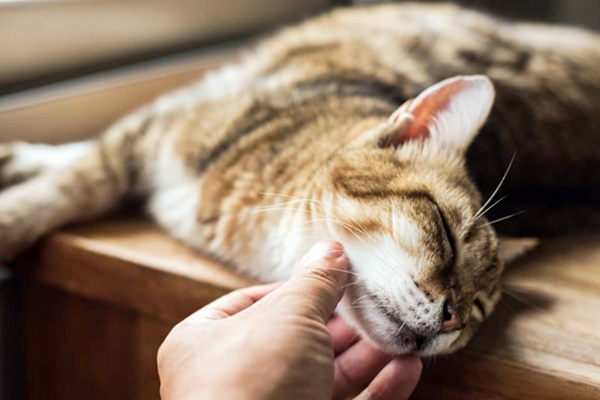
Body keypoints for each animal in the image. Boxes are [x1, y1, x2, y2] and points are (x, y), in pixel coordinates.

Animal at [1, 1, 600, 354]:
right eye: (446, 236)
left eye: (480, 308)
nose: (453, 320)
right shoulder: (154, 133)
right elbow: (72, 183)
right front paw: (17, 209)